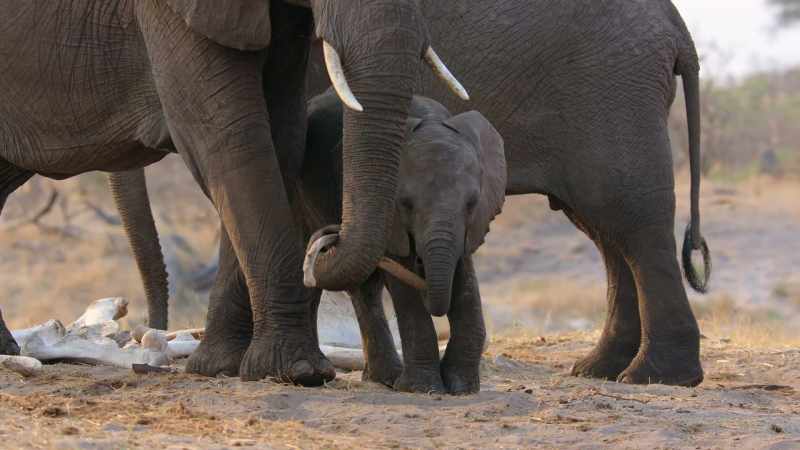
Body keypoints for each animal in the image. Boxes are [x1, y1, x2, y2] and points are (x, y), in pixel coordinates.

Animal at [302, 0, 711, 387]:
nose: (325, 242)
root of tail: (679, 29)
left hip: (616, 92)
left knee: (631, 215)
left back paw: (655, 376)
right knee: (604, 228)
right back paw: (599, 369)